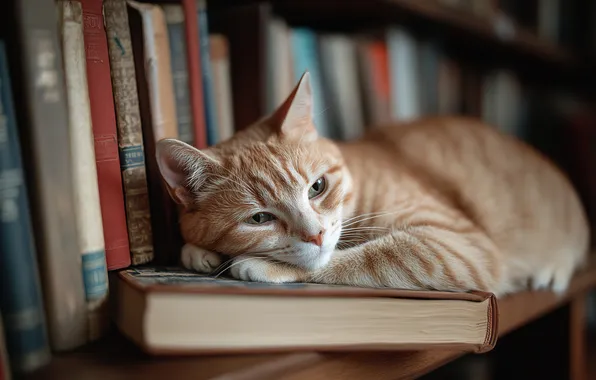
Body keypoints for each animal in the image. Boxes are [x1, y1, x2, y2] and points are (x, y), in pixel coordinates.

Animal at [156, 71, 588, 296]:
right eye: (259, 219)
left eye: (317, 187)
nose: (315, 235)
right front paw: (198, 252)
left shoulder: (460, 246)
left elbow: (361, 258)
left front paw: (261, 265)